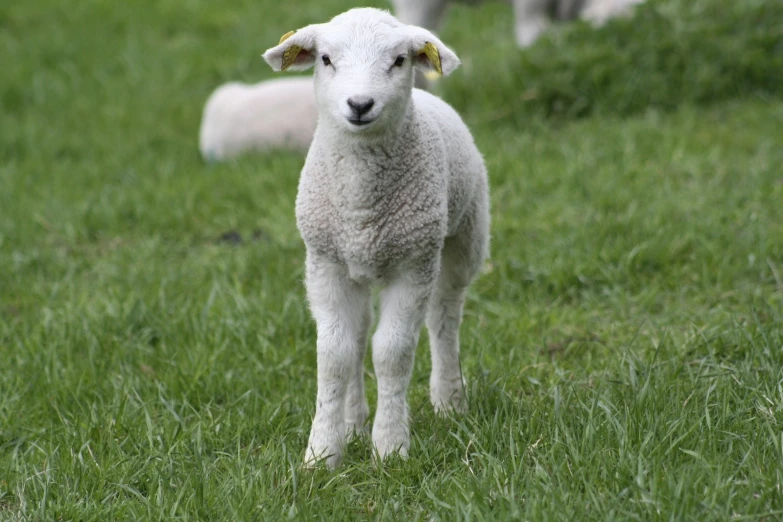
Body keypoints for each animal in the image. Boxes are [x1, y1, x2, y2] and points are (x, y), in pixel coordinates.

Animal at [266, 8, 494, 466]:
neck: (361, 209)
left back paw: (450, 402)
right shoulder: (325, 264)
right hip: (359, 269)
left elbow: (392, 354)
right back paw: (353, 424)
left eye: (399, 61)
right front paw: (322, 452)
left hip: (463, 239)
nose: (360, 104)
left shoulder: (413, 265)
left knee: (445, 317)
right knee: (357, 338)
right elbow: (334, 355)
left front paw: (390, 448)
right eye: (326, 59)